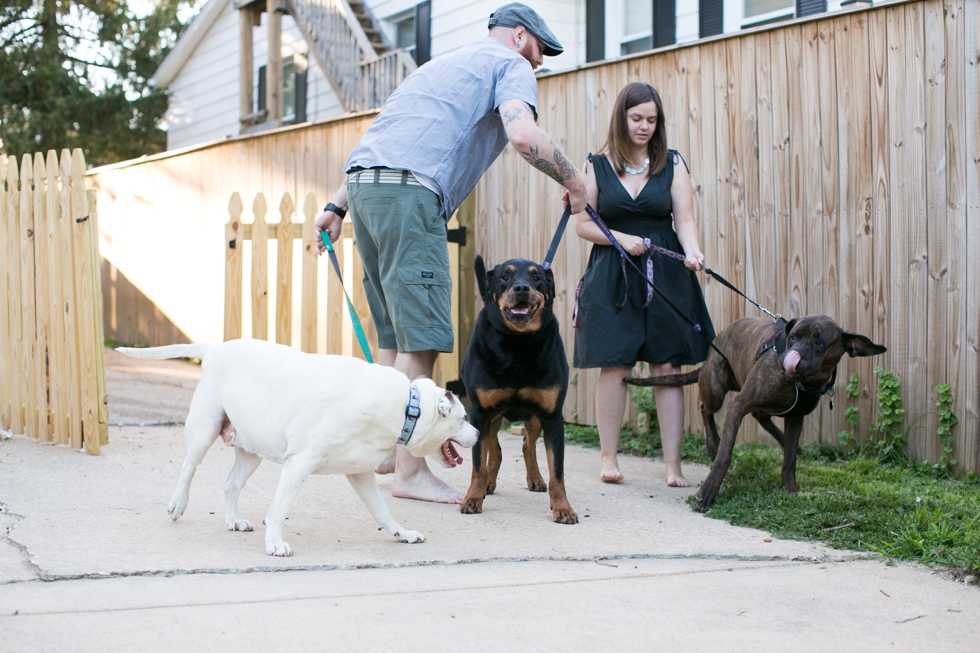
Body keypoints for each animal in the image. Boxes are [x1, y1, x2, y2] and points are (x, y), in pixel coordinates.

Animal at [118, 336, 478, 556]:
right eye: (462, 418)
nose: (476, 435)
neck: (405, 407)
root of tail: (215, 348)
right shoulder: (298, 464)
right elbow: (279, 509)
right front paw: (275, 544)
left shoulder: (360, 473)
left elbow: (383, 511)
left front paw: (402, 533)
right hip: (203, 429)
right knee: (189, 467)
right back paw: (177, 504)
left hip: (252, 449)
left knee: (230, 483)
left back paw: (234, 520)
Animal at [458, 255, 576, 524]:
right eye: (505, 276)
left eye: (536, 277)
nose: (522, 288)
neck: (518, 343)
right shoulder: (480, 413)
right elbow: (478, 463)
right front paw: (472, 498)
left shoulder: (552, 416)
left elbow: (557, 471)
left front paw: (562, 507)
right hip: (493, 418)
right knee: (495, 451)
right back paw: (487, 484)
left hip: (533, 417)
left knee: (526, 445)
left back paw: (536, 479)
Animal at [628, 314, 888, 510]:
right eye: (793, 337)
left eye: (819, 342)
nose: (792, 355)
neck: (801, 384)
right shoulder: (738, 405)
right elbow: (725, 456)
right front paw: (708, 491)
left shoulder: (796, 418)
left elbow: (789, 458)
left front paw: (790, 488)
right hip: (716, 388)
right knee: (705, 408)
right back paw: (713, 444)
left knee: (762, 417)